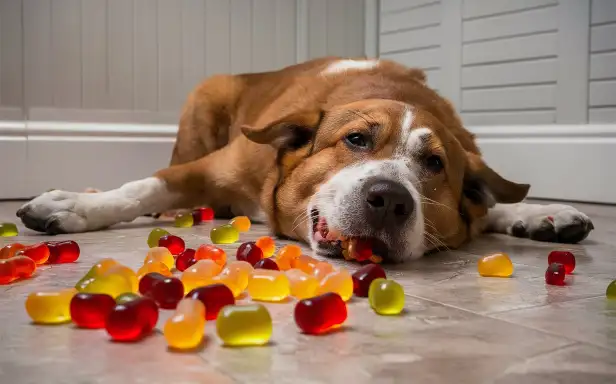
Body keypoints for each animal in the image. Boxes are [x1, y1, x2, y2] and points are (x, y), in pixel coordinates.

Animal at [16, 57, 596, 262]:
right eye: (356, 139)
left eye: (434, 166)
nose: (389, 199)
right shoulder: (210, 168)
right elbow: (144, 186)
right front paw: (74, 205)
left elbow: (486, 205)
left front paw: (537, 212)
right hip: (204, 99)